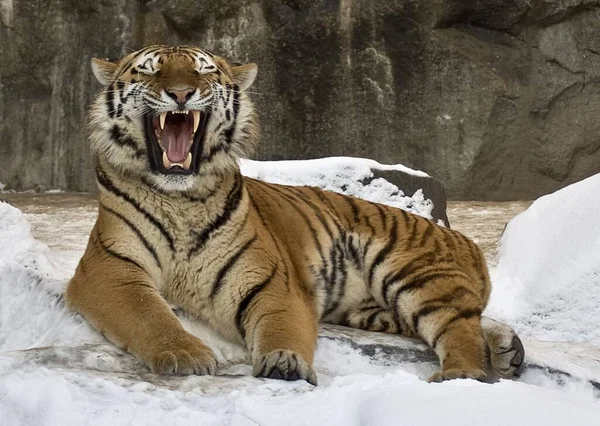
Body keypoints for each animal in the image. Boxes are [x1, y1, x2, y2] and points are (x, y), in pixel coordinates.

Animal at [65, 45, 524, 384]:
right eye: (151, 72)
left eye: (203, 72)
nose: (180, 94)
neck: (181, 199)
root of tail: (465, 240)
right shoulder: (110, 270)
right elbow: (149, 313)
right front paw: (186, 355)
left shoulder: (271, 281)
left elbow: (281, 325)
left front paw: (284, 361)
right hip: (373, 308)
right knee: (468, 317)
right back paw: (506, 349)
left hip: (412, 272)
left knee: (457, 326)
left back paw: (460, 375)